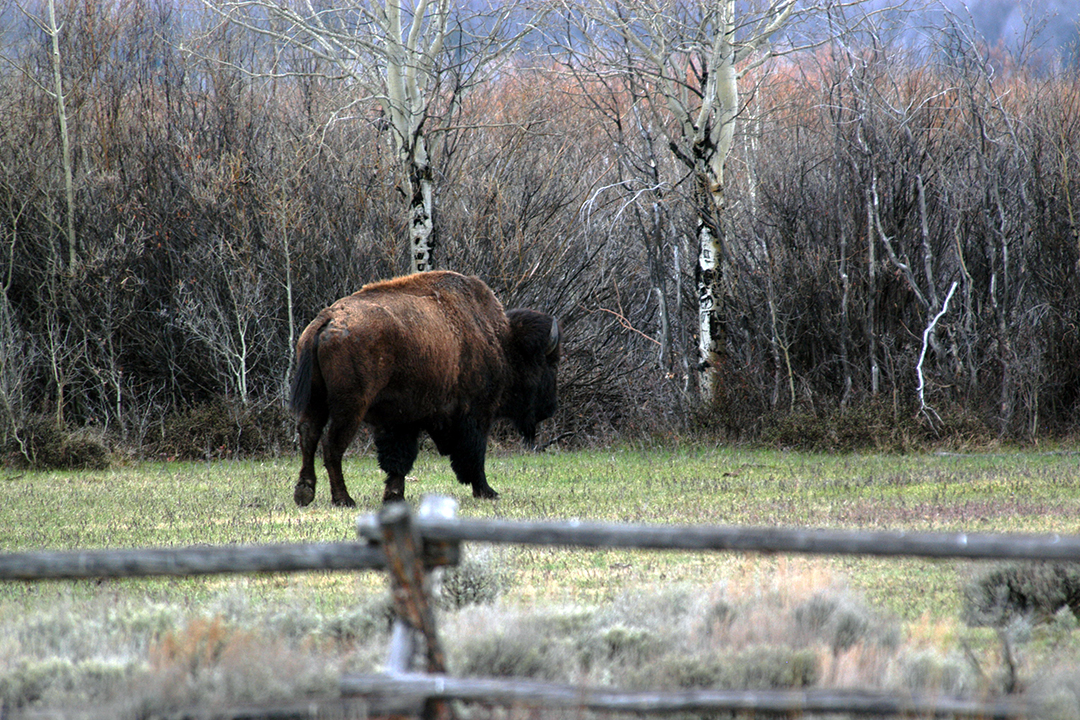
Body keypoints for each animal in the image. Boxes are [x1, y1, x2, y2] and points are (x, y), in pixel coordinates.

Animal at [289, 270, 561, 506]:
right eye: (548, 364)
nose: (550, 408)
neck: (501, 342)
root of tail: (328, 318)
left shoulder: (400, 420)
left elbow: (398, 460)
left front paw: (394, 496)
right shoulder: (475, 414)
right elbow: (473, 455)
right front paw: (486, 491)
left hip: (316, 399)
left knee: (309, 434)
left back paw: (304, 493)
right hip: (350, 407)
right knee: (332, 446)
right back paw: (343, 499)